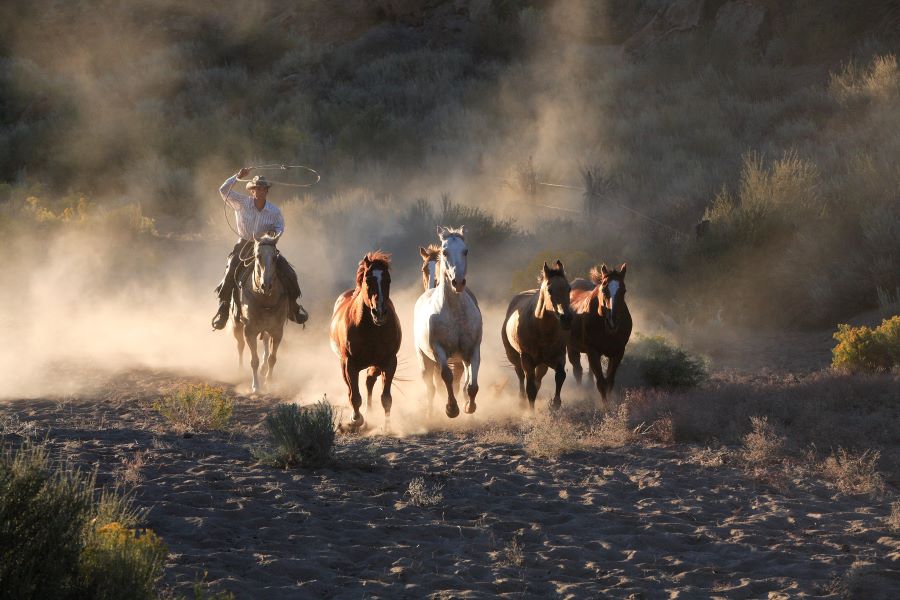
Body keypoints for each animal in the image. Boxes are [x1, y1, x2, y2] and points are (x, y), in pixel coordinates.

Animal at [234, 234, 290, 394]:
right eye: (258, 256)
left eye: (274, 257)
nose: (266, 285)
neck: (264, 299)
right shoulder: (249, 331)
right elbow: (254, 360)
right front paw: (256, 387)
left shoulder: (277, 331)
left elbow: (272, 358)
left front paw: (268, 382)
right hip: (237, 323)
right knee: (240, 345)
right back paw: (240, 370)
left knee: (265, 341)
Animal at [330, 250, 400, 432]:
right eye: (368, 280)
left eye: (388, 280)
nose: (380, 312)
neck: (371, 329)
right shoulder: (350, 364)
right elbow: (355, 396)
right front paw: (356, 419)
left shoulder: (389, 362)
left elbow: (386, 398)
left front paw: (387, 427)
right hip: (344, 365)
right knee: (351, 389)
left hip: (375, 365)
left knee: (369, 381)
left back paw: (370, 413)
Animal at [414, 225, 486, 418]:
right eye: (444, 252)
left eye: (465, 251)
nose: (458, 282)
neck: (455, 313)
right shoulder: (439, 351)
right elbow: (446, 377)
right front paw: (452, 408)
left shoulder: (473, 350)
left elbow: (472, 385)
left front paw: (469, 406)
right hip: (425, 359)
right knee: (430, 387)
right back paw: (430, 414)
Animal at [502, 260, 572, 410]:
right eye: (550, 290)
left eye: (569, 288)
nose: (566, 318)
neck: (542, 331)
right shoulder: (527, 359)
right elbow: (530, 388)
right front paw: (531, 412)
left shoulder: (559, 355)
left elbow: (560, 375)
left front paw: (556, 404)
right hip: (515, 358)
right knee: (521, 376)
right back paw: (521, 401)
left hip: (542, 364)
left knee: (538, 380)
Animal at [568, 264, 632, 400]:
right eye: (604, 290)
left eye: (623, 291)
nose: (613, 321)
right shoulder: (593, 351)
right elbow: (601, 383)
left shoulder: (618, 352)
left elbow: (609, 382)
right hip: (572, 347)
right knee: (578, 370)